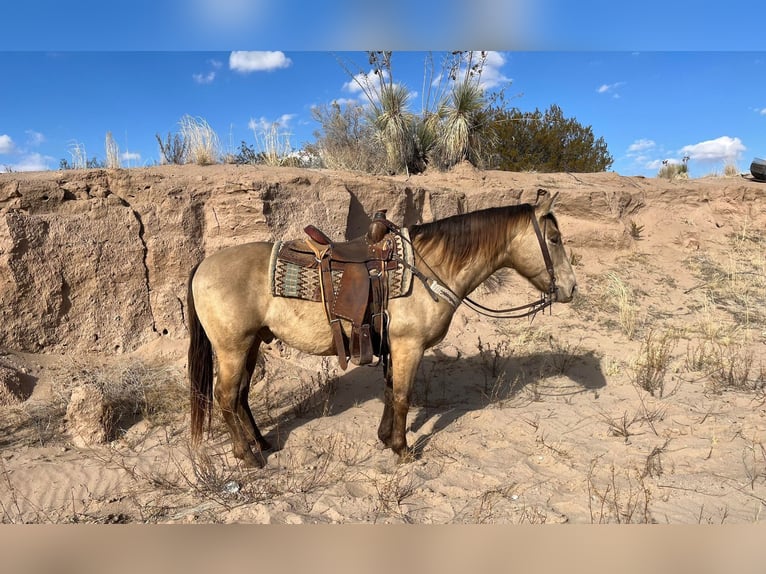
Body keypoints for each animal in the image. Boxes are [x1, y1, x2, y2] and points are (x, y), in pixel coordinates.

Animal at [189, 194, 580, 468]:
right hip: (233, 348)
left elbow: (391, 391)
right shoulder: (409, 346)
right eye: (555, 239)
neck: (429, 269)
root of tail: (202, 265)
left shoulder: (395, 347)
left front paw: (384, 437)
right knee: (225, 396)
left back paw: (261, 443)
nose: (571, 288)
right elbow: (404, 396)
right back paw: (247, 455)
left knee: (240, 396)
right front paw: (403, 449)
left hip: (252, 344)